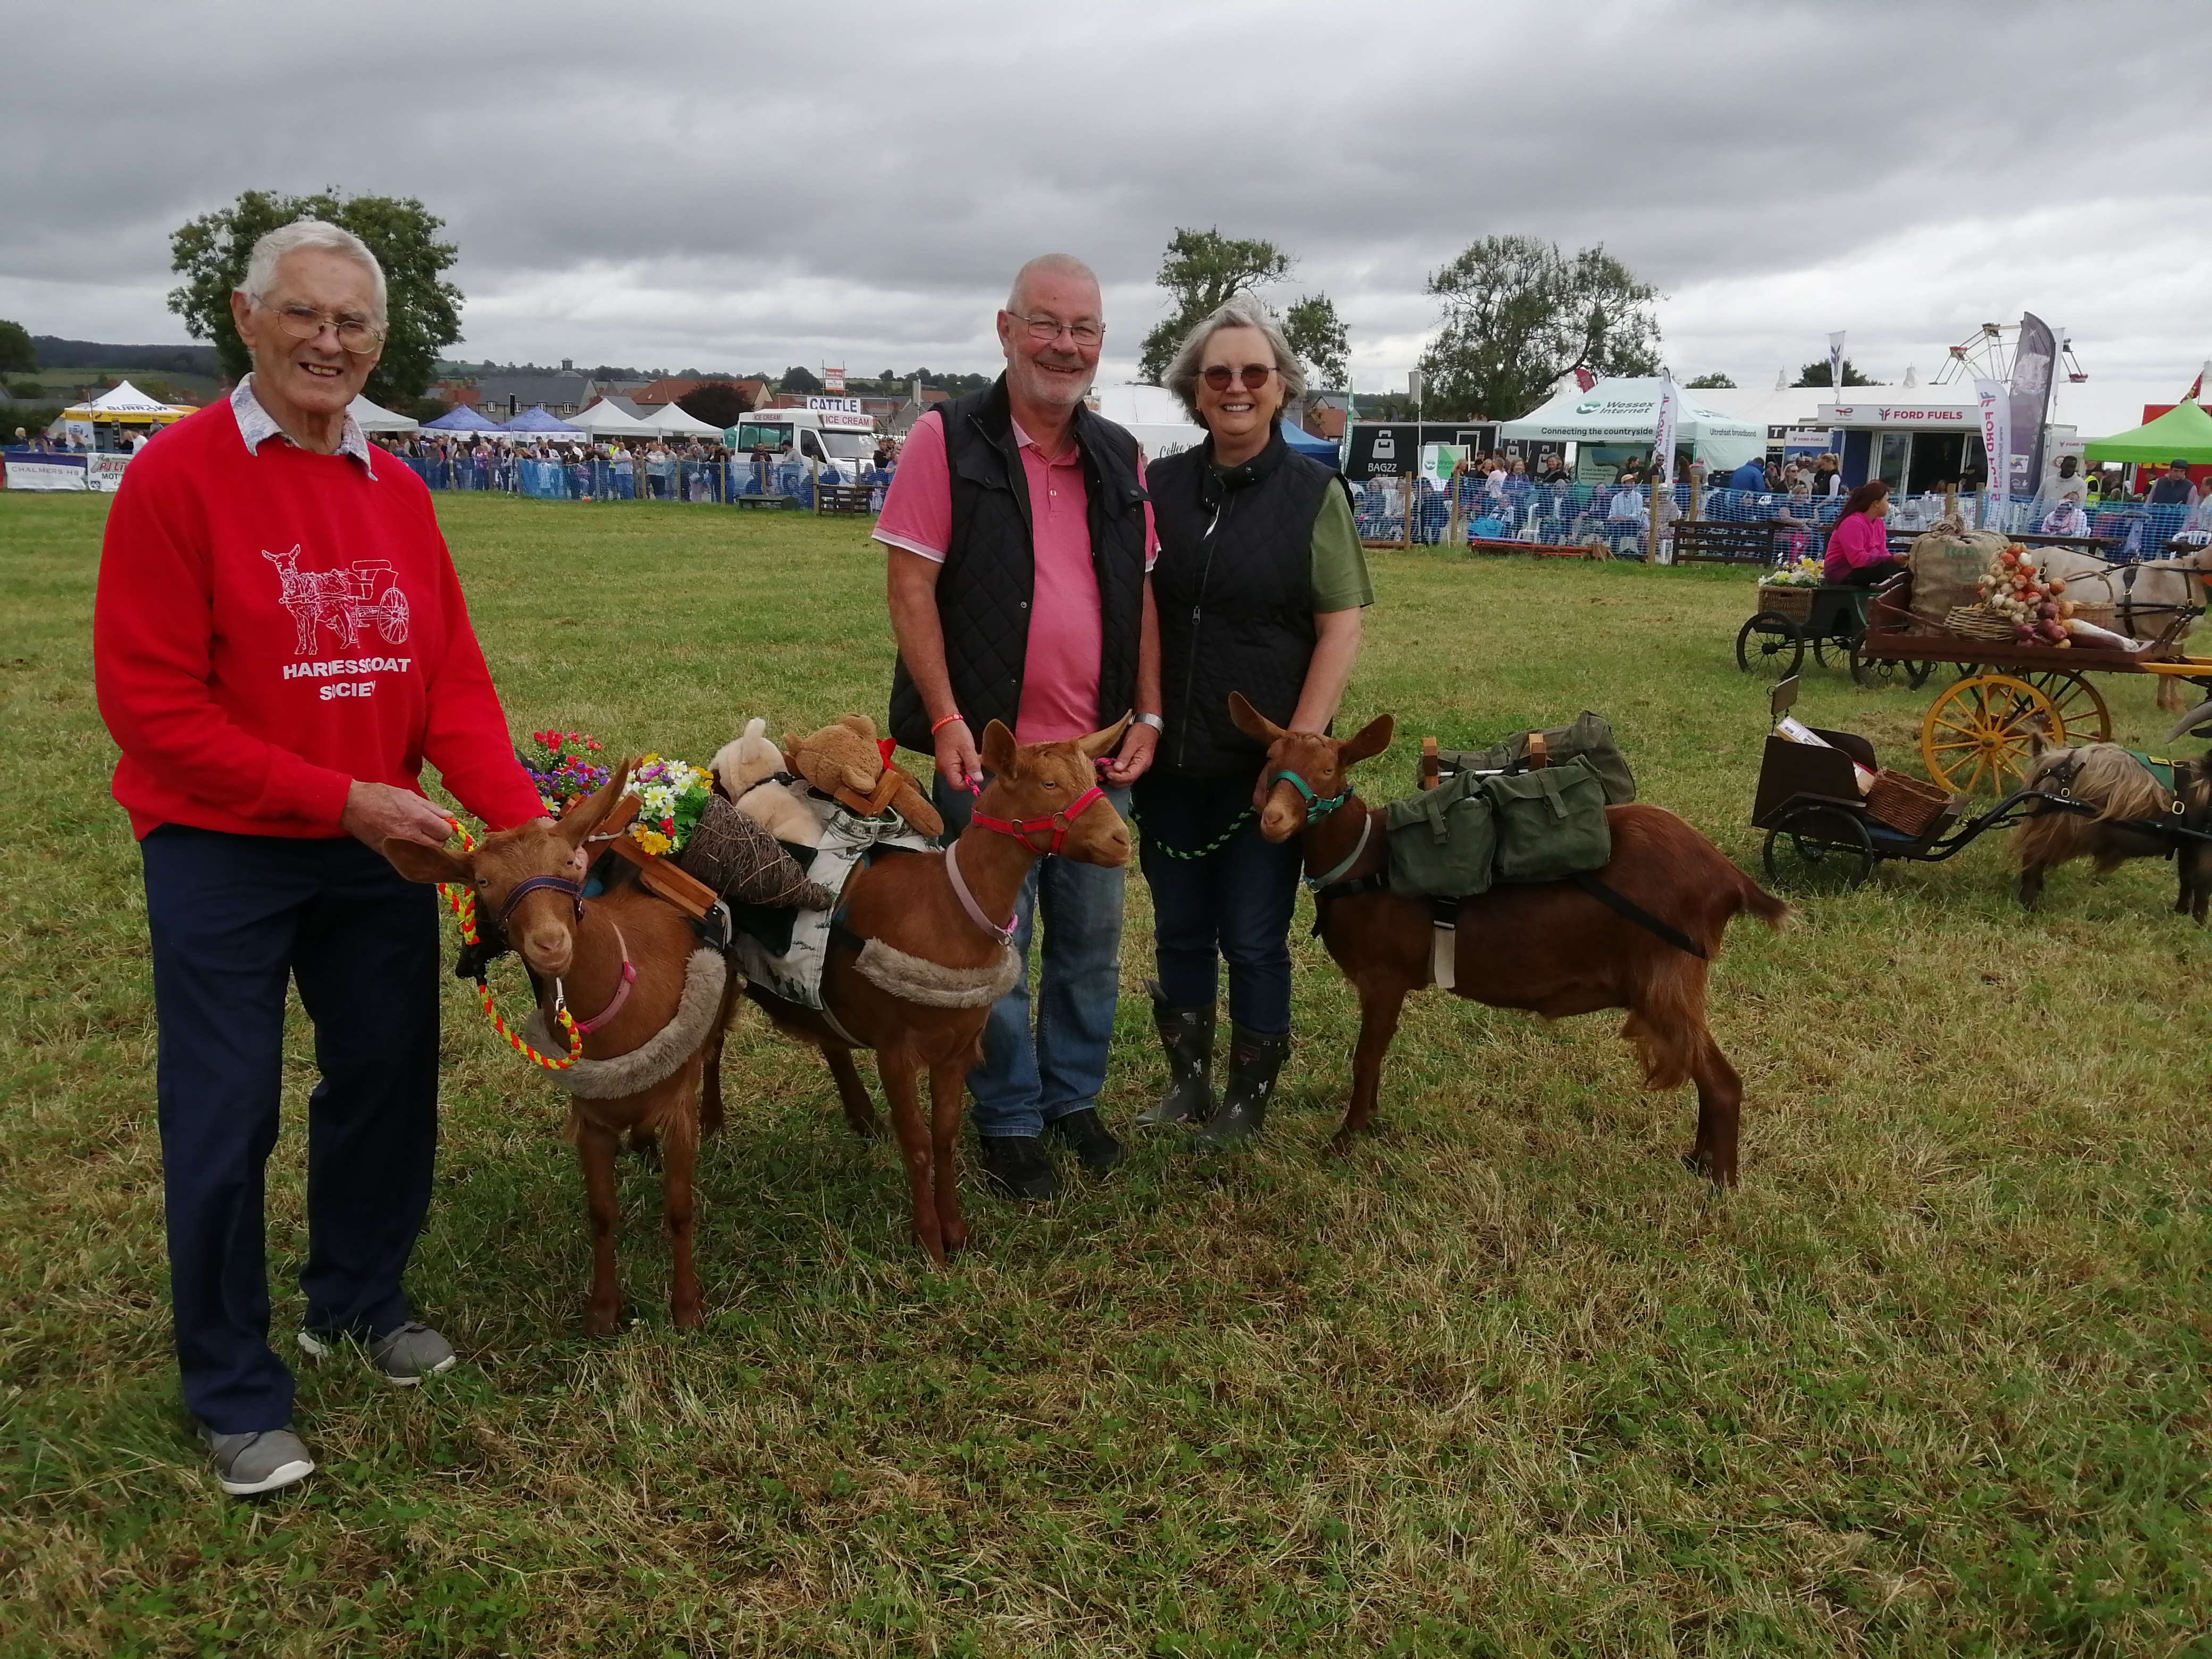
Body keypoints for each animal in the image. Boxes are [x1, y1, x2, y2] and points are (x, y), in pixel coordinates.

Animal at [384, 762, 741, 1335]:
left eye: (569, 864)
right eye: (483, 882)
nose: (550, 945)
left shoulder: (675, 1111)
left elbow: (679, 1210)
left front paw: (687, 1309)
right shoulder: (590, 1119)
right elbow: (601, 1215)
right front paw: (602, 1313)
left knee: (714, 1050)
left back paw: (715, 1119)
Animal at [732, 717, 1130, 1262]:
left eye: (1095, 775)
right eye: (1049, 784)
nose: (1122, 840)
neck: (946, 908)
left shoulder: (956, 1049)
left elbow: (943, 1136)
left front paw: (956, 1232)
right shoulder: (895, 1050)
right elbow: (917, 1142)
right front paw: (928, 1244)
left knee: (825, 1039)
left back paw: (860, 1118)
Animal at [1228, 694, 1786, 1185]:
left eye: (1328, 770)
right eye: (1270, 760)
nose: (1273, 820)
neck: (1364, 859)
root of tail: (1730, 880)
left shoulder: (1383, 976)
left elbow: (1365, 1058)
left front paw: (1347, 1139)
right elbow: (1377, 1055)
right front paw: (1369, 1123)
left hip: (1667, 971)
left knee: (1722, 1080)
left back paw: (1720, 1184)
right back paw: (1699, 1163)